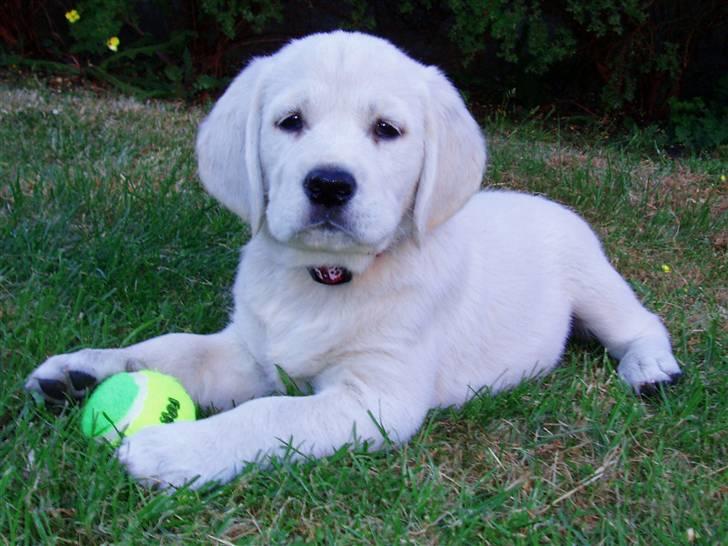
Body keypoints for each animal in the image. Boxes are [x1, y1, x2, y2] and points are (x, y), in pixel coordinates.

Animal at [24, 31, 684, 486]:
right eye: (290, 121)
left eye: (387, 130)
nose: (329, 184)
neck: (324, 278)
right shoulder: (252, 352)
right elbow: (172, 350)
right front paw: (83, 370)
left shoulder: (377, 398)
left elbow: (269, 415)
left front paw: (173, 449)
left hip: (595, 282)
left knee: (641, 323)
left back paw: (652, 370)